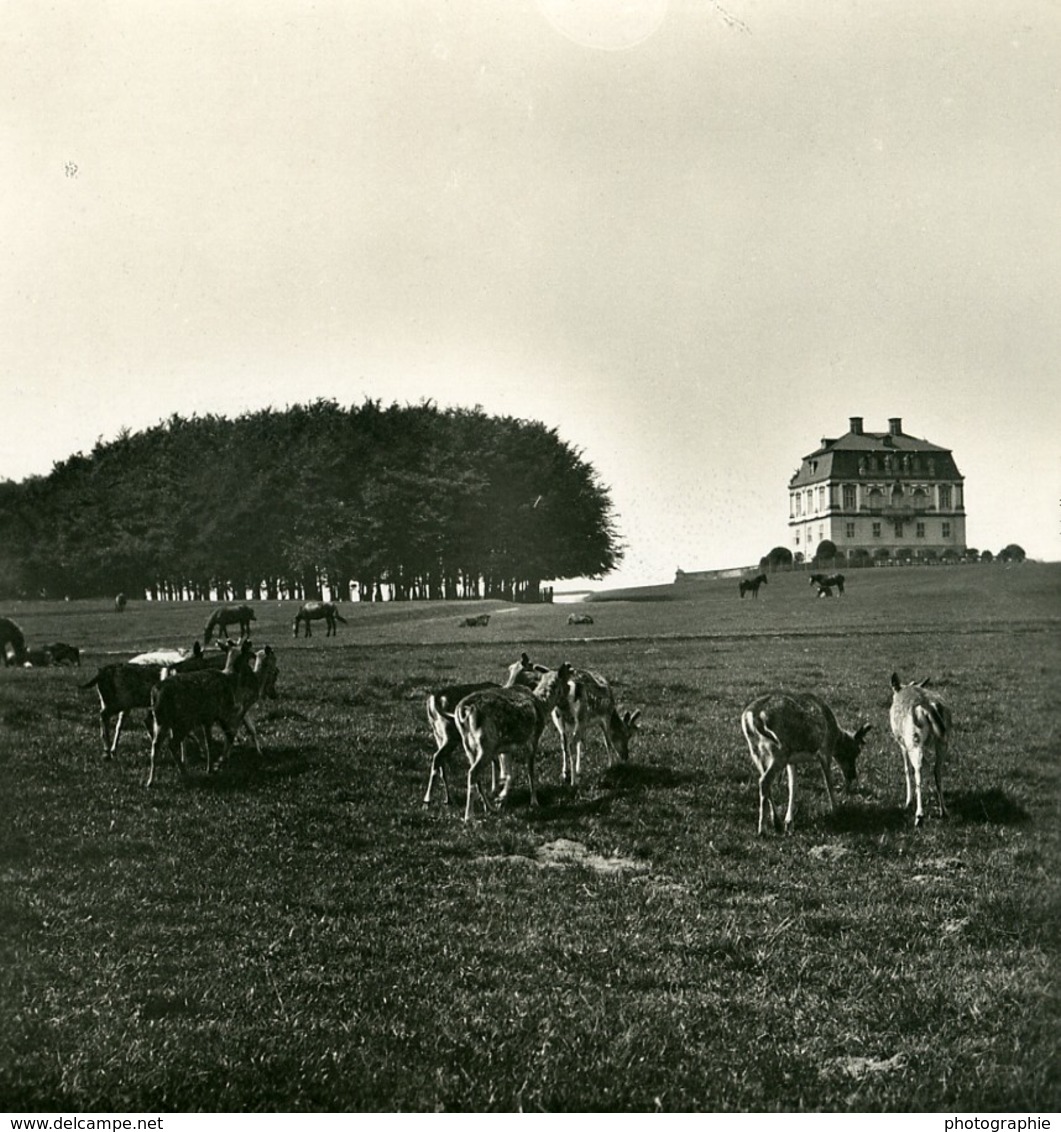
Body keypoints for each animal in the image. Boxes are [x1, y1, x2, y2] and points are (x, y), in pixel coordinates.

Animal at [738, 683, 869, 837]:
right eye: (856, 751)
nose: (853, 775)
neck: (836, 736)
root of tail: (752, 717)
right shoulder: (825, 751)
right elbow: (829, 783)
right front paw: (835, 811)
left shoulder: (792, 761)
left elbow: (793, 785)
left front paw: (789, 822)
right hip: (780, 751)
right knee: (764, 781)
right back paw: (762, 830)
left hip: (757, 752)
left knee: (765, 782)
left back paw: (777, 823)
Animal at [887, 665, 951, 828]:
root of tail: (929, 707)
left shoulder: (901, 743)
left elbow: (906, 768)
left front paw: (908, 801)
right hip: (943, 740)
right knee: (937, 770)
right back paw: (944, 811)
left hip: (913, 739)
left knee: (918, 770)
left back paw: (919, 815)